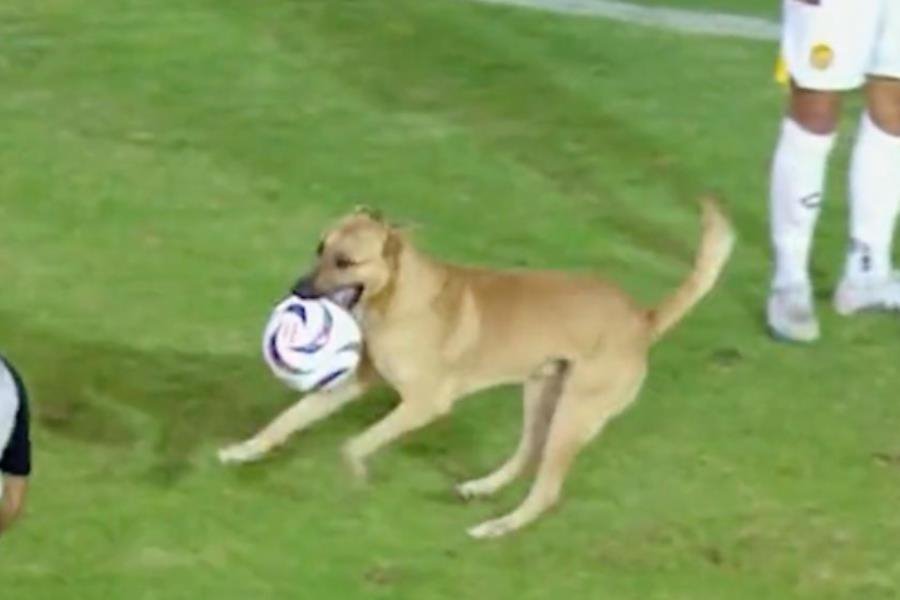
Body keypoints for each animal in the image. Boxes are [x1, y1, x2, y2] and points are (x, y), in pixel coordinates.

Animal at [221, 197, 736, 540]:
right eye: (319, 248)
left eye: (345, 261)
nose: (297, 289)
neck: (401, 298)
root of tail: (643, 319)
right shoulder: (352, 383)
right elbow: (287, 420)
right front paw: (243, 451)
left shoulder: (424, 404)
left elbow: (352, 444)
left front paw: (355, 476)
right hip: (542, 393)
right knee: (527, 454)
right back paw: (481, 489)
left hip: (575, 412)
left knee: (546, 490)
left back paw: (498, 527)